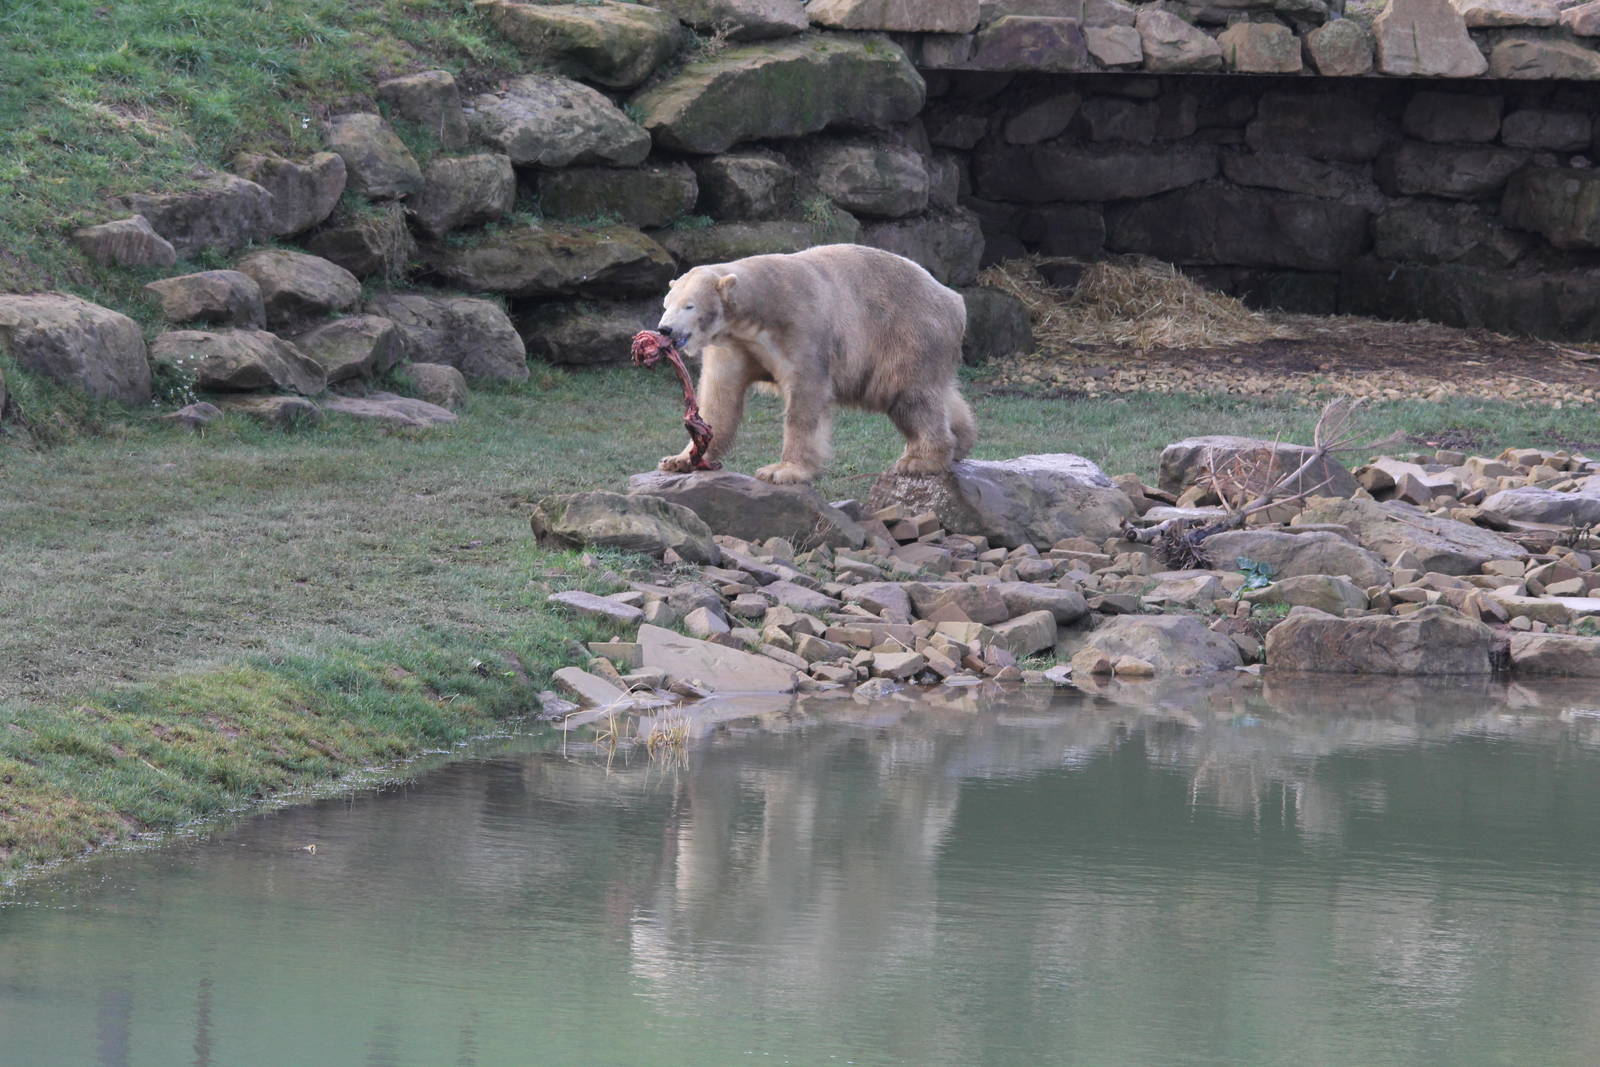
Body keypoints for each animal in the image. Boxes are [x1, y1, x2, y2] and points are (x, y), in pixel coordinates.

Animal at [654, 244, 976, 485]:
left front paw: (783, 470)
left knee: (909, 395)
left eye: (689, 305)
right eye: (666, 303)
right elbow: (719, 397)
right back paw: (961, 440)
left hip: (908, 333)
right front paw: (679, 459)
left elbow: (805, 396)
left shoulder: (800, 328)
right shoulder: (733, 345)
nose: (665, 330)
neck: (759, 309)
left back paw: (920, 460)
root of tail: (955, 300)